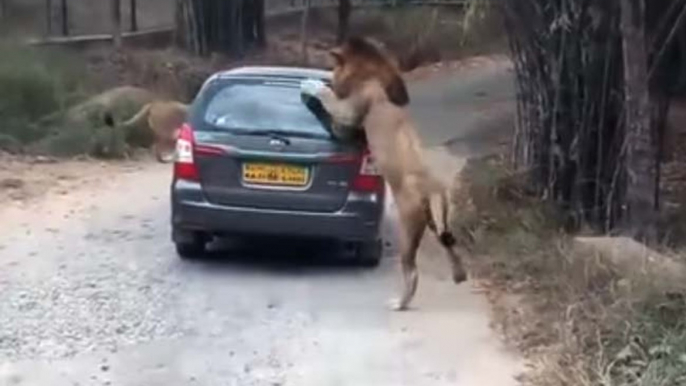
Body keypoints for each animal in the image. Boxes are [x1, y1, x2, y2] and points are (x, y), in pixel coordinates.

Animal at [304, 36, 470, 312]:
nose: (329, 74)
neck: (371, 71)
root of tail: (431, 188)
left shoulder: (349, 115)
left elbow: (330, 101)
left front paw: (313, 85)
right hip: (440, 221)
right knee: (450, 245)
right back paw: (460, 276)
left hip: (408, 227)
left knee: (412, 272)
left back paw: (399, 303)